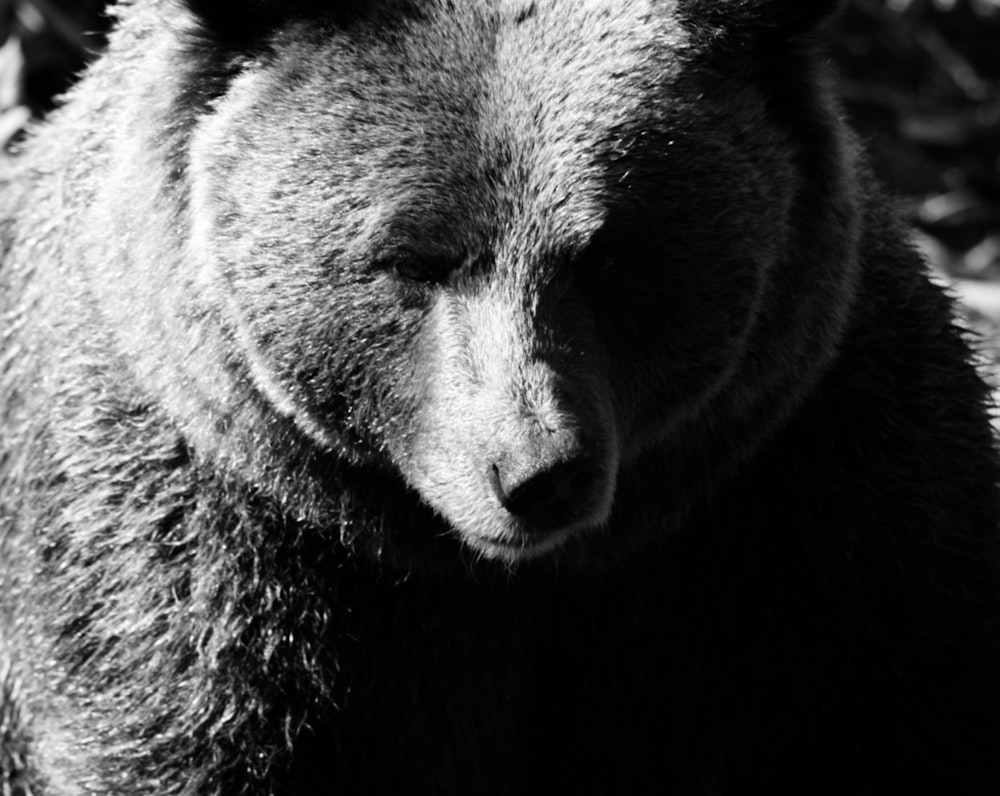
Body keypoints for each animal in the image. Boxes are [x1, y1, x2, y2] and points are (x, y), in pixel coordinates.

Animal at [1, 0, 1000, 792]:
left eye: (609, 254)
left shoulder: (824, 507)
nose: (535, 472)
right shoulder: (196, 553)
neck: (492, 576)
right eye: (413, 259)